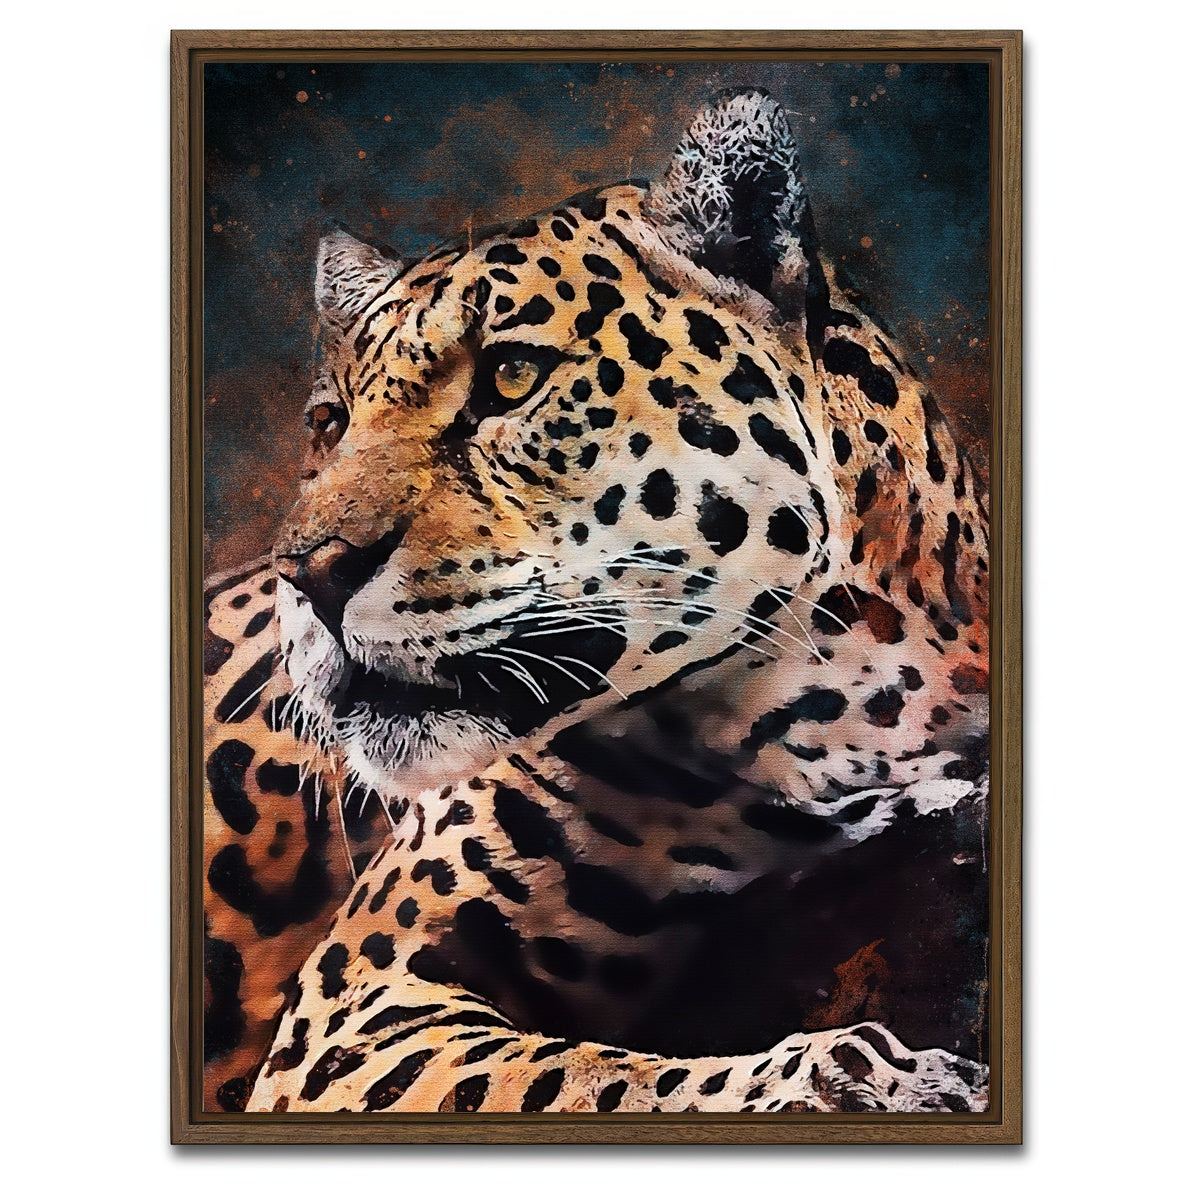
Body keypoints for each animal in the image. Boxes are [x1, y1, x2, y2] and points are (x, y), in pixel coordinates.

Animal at [201, 90, 991, 1115]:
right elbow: (588, 1079)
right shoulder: (360, 999)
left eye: (510, 377)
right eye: (328, 424)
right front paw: (868, 1080)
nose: (310, 573)